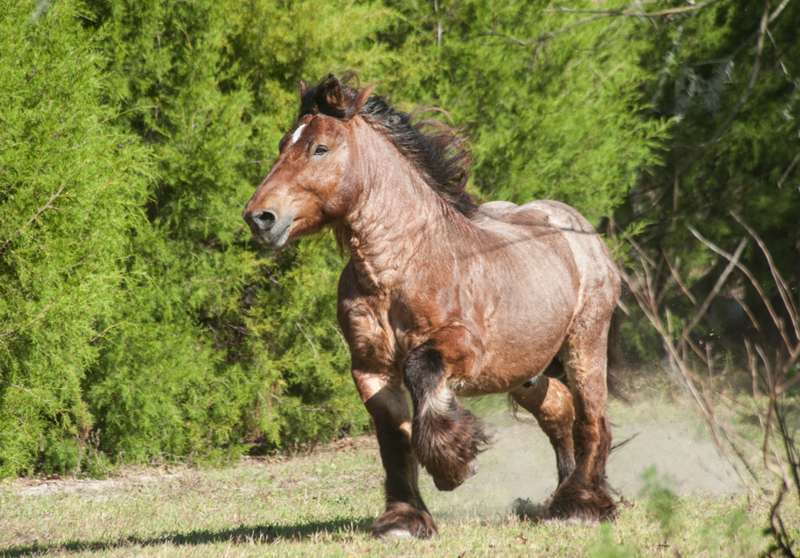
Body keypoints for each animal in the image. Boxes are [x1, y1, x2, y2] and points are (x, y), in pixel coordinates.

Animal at [241, 74, 620, 544]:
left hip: (585, 343)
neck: (401, 267)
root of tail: (579, 228)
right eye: (282, 145)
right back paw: (561, 498)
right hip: (524, 371)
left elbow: (421, 369)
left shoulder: (464, 348)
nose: (259, 217)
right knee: (558, 412)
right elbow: (393, 439)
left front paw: (453, 463)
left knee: (592, 419)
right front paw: (404, 519)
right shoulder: (370, 367)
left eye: (319, 148)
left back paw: (582, 505)